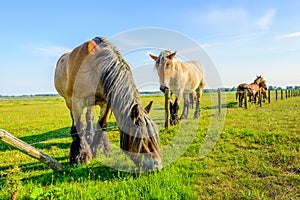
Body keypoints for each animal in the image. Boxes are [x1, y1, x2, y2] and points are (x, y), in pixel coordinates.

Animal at [54, 36, 162, 170]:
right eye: (141, 138)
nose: (158, 165)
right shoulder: (76, 102)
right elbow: (80, 125)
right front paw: (81, 155)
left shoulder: (106, 102)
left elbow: (102, 124)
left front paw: (96, 148)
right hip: (69, 101)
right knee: (76, 120)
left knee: (89, 117)